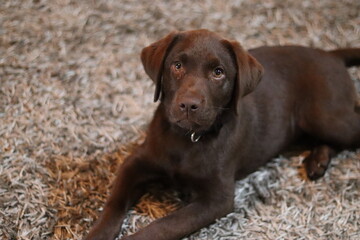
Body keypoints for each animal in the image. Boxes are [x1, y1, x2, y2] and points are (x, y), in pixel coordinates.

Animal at [84, 29, 360, 240]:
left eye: (218, 72)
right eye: (177, 66)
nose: (188, 105)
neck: (187, 139)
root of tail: (330, 55)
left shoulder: (217, 199)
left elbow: (164, 226)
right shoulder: (136, 162)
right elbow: (113, 203)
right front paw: (97, 233)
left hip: (323, 116)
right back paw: (318, 161)